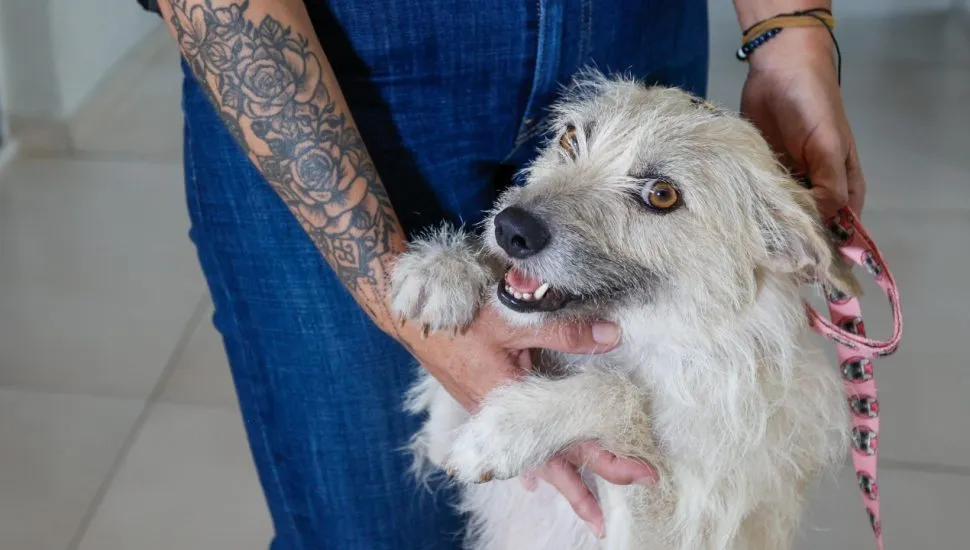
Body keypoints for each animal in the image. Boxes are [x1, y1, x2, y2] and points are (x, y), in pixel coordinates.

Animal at [390, 73, 860, 550]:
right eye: (570, 138)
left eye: (662, 195)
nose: (511, 228)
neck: (648, 335)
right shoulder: (442, 436)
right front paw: (448, 269)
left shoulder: (671, 528)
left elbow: (616, 391)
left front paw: (507, 429)